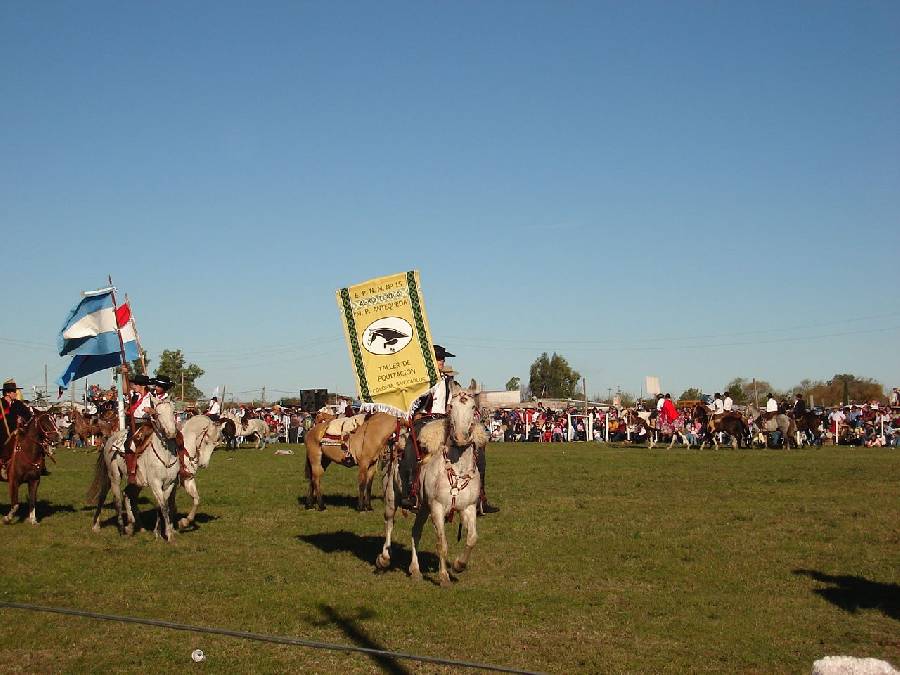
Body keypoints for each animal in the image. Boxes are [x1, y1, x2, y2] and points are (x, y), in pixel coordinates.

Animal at [374, 380, 486, 588]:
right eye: (451, 407)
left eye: (473, 407)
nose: (460, 438)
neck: (457, 469)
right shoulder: (437, 508)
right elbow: (442, 544)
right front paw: (443, 577)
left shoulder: (468, 507)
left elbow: (472, 538)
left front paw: (459, 565)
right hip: (392, 498)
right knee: (389, 523)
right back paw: (383, 559)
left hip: (423, 508)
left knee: (415, 532)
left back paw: (415, 570)